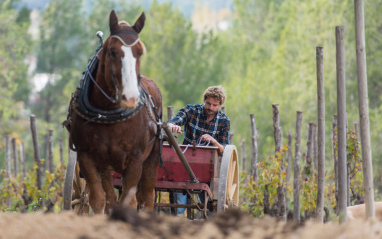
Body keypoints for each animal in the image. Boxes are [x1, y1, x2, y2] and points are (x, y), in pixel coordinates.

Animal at [68, 10, 162, 214]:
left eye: (140, 52)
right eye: (112, 52)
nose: (131, 97)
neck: (107, 113)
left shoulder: (135, 160)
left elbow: (129, 201)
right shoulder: (88, 158)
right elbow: (99, 200)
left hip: (152, 158)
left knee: (147, 197)